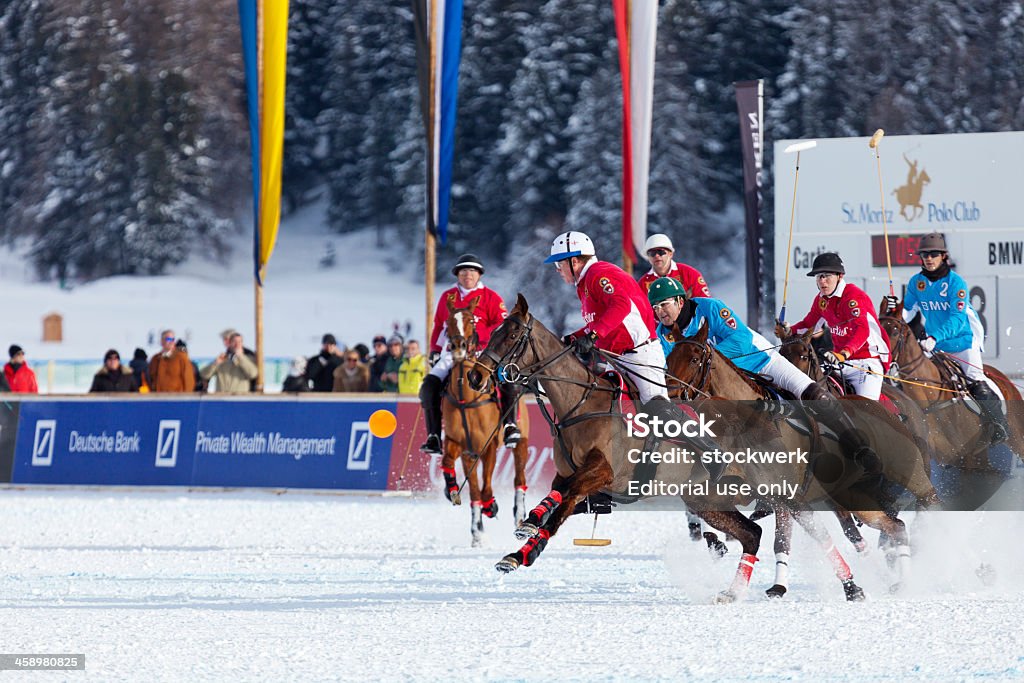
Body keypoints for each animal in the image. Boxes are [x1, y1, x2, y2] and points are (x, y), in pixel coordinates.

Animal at [440, 296, 528, 548]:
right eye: (448, 322)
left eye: (472, 320)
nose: (459, 348)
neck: (465, 398)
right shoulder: (462, 447)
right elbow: (472, 489)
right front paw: (476, 533)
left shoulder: (488, 447)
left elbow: (487, 487)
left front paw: (491, 507)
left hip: (522, 442)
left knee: (519, 478)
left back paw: (520, 517)